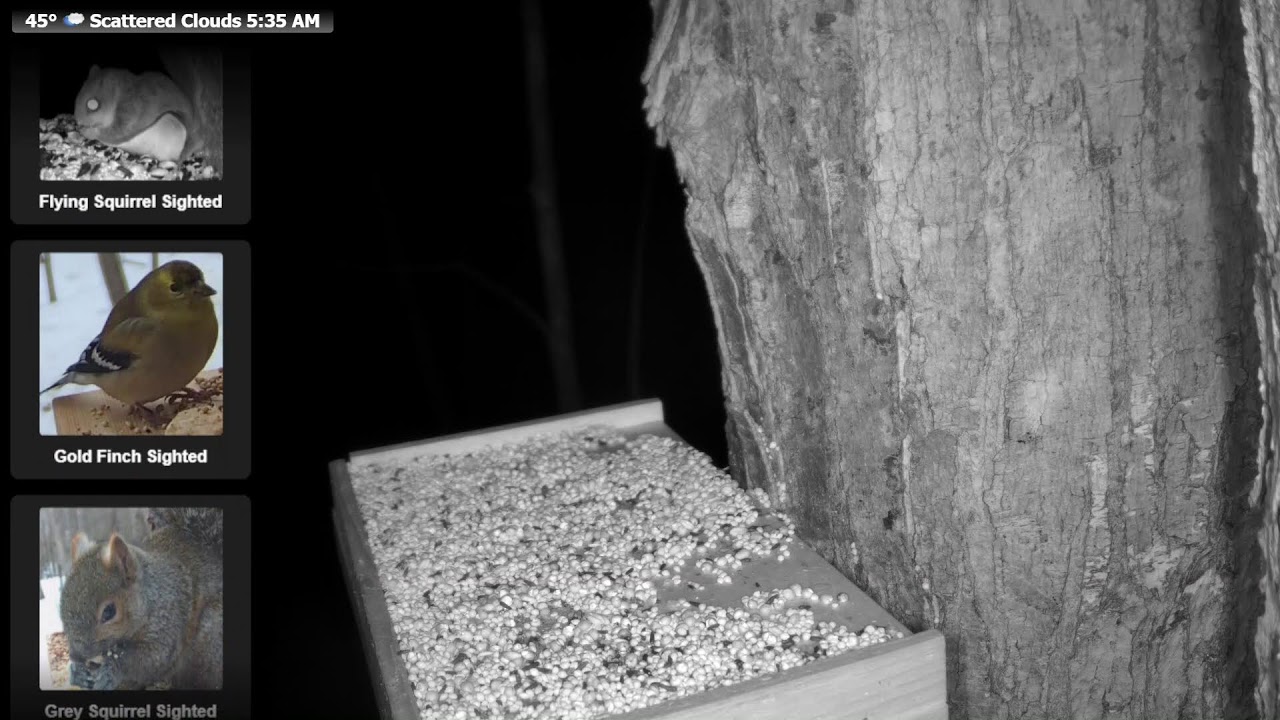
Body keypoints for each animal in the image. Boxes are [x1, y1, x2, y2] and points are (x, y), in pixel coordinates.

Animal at [60, 507, 223, 691]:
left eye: (109, 612)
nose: (75, 656)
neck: (151, 596)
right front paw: (77, 673)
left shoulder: (169, 617)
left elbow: (153, 658)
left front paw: (112, 670)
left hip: (209, 640)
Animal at [74, 48, 223, 173]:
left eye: (93, 105)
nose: (78, 121)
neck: (121, 95)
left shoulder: (131, 113)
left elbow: (113, 133)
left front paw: (87, 131)